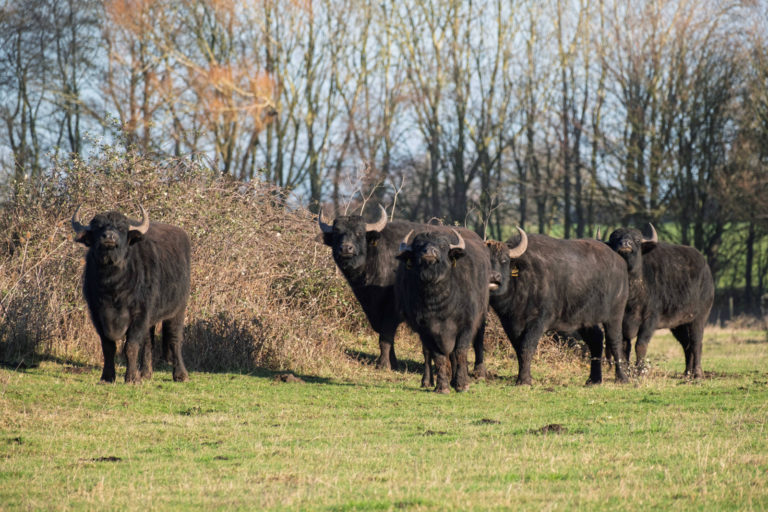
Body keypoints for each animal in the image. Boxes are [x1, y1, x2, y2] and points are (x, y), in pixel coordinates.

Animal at [72, 206, 190, 382]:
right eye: (98, 227)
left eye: (121, 228)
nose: (109, 237)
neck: (113, 286)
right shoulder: (97, 314)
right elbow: (108, 347)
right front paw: (107, 376)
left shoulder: (139, 314)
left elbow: (131, 346)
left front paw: (132, 378)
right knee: (148, 342)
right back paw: (146, 373)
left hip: (178, 310)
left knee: (175, 339)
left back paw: (180, 374)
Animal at [318, 208, 486, 384]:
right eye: (337, 233)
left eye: (359, 232)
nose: (346, 249)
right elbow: (386, 337)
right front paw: (394, 363)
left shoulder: (392, 309)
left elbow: (385, 337)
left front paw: (383, 364)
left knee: (478, 338)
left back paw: (479, 371)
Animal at [396, 228, 492, 392]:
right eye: (418, 245)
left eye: (442, 246)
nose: (429, 252)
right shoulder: (426, 330)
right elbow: (438, 356)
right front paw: (442, 387)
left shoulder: (466, 326)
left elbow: (460, 352)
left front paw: (462, 384)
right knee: (427, 353)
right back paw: (428, 381)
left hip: (481, 317)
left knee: (475, 344)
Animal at [486, 229, 632, 384]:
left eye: (504, 260)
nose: (493, 277)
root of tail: (619, 261)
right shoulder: (509, 324)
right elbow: (518, 348)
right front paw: (522, 377)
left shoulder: (538, 321)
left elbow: (527, 347)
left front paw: (525, 380)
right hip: (585, 318)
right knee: (596, 339)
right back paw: (594, 379)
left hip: (615, 314)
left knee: (615, 340)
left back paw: (622, 377)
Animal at [608, 224, 712, 376]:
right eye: (615, 238)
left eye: (637, 240)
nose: (625, 244)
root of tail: (707, 271)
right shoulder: (621, 321)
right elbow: (624, 347)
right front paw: (626, 371)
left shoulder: (650, 320)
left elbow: (641, 345)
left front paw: (640, 371)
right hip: (678, 324)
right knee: (686, 345)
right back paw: (687, 372)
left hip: (699, 317)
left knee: (696, 342)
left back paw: (697, 374)